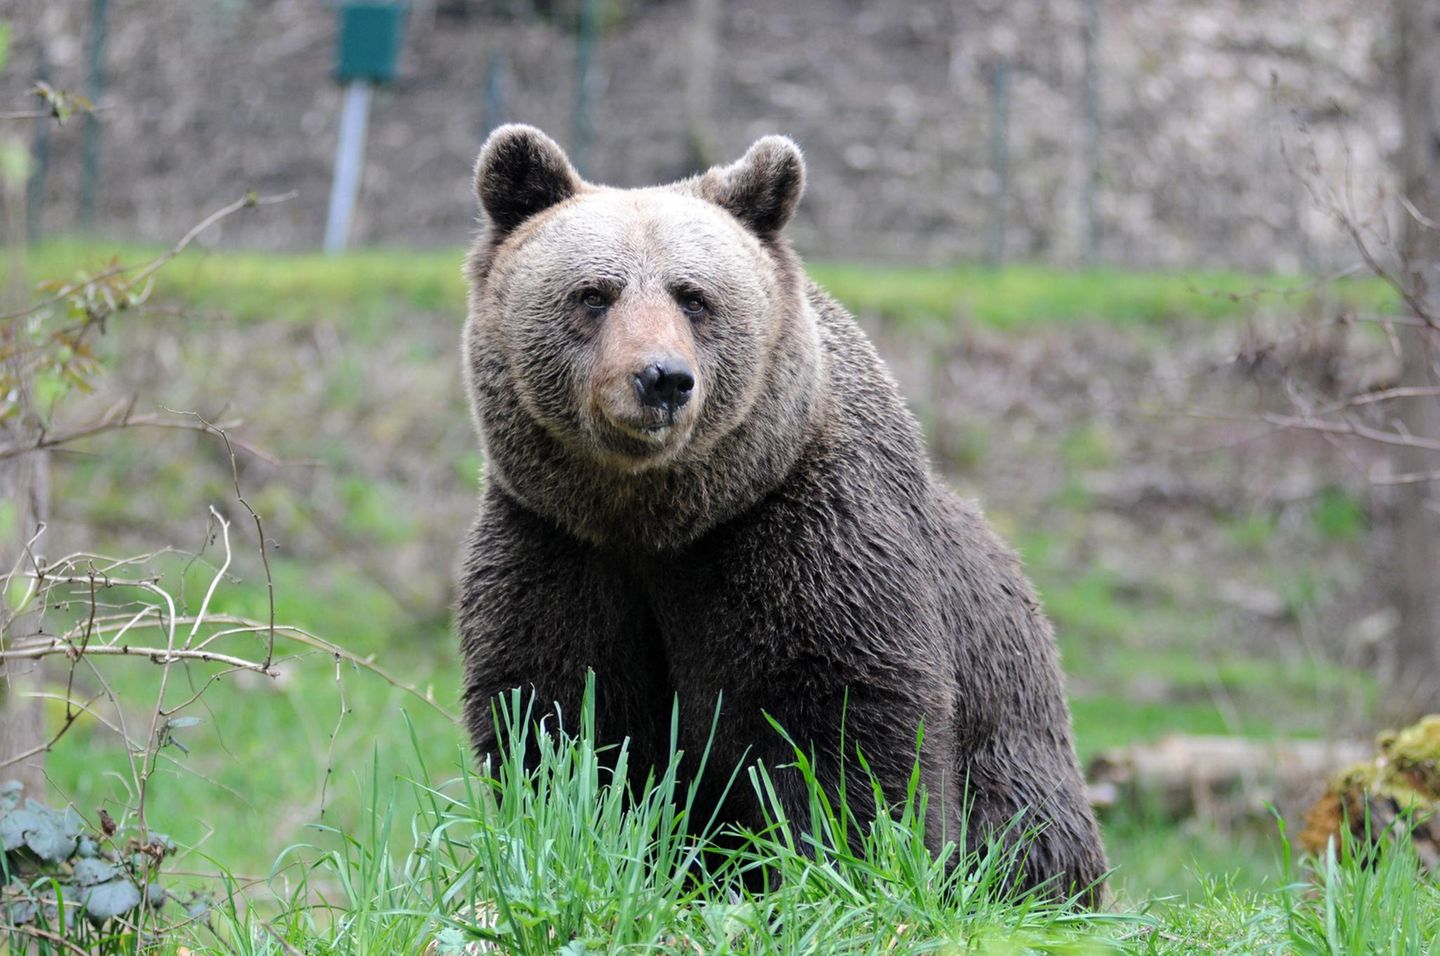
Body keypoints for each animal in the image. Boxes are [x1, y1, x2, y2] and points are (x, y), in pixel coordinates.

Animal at [456, 124, 1107, 903]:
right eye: (594, 293)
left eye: (693, 296)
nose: (662, 379)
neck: (658, 517)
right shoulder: (556, 541)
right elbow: (559, 713)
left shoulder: (801, 531)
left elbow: (840, 718)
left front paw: (836, 865)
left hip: (1018, 746)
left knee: (1024, 837)